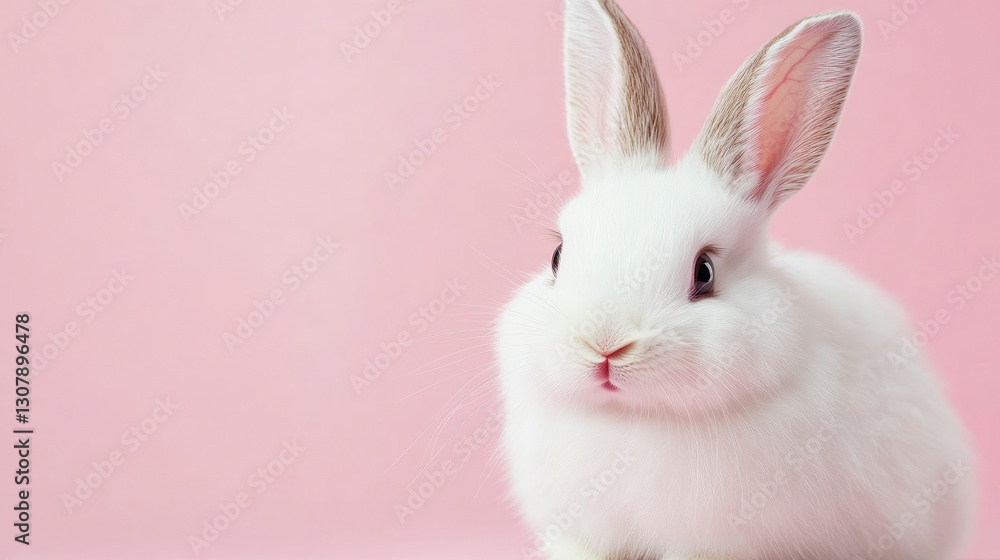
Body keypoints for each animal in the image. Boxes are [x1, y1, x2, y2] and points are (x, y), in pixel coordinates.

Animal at [494, 0, 976, 559]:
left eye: (704, 272)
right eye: (557, 256)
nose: (605, 346)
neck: (635, 417)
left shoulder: (717, 542)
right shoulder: (581, 532)